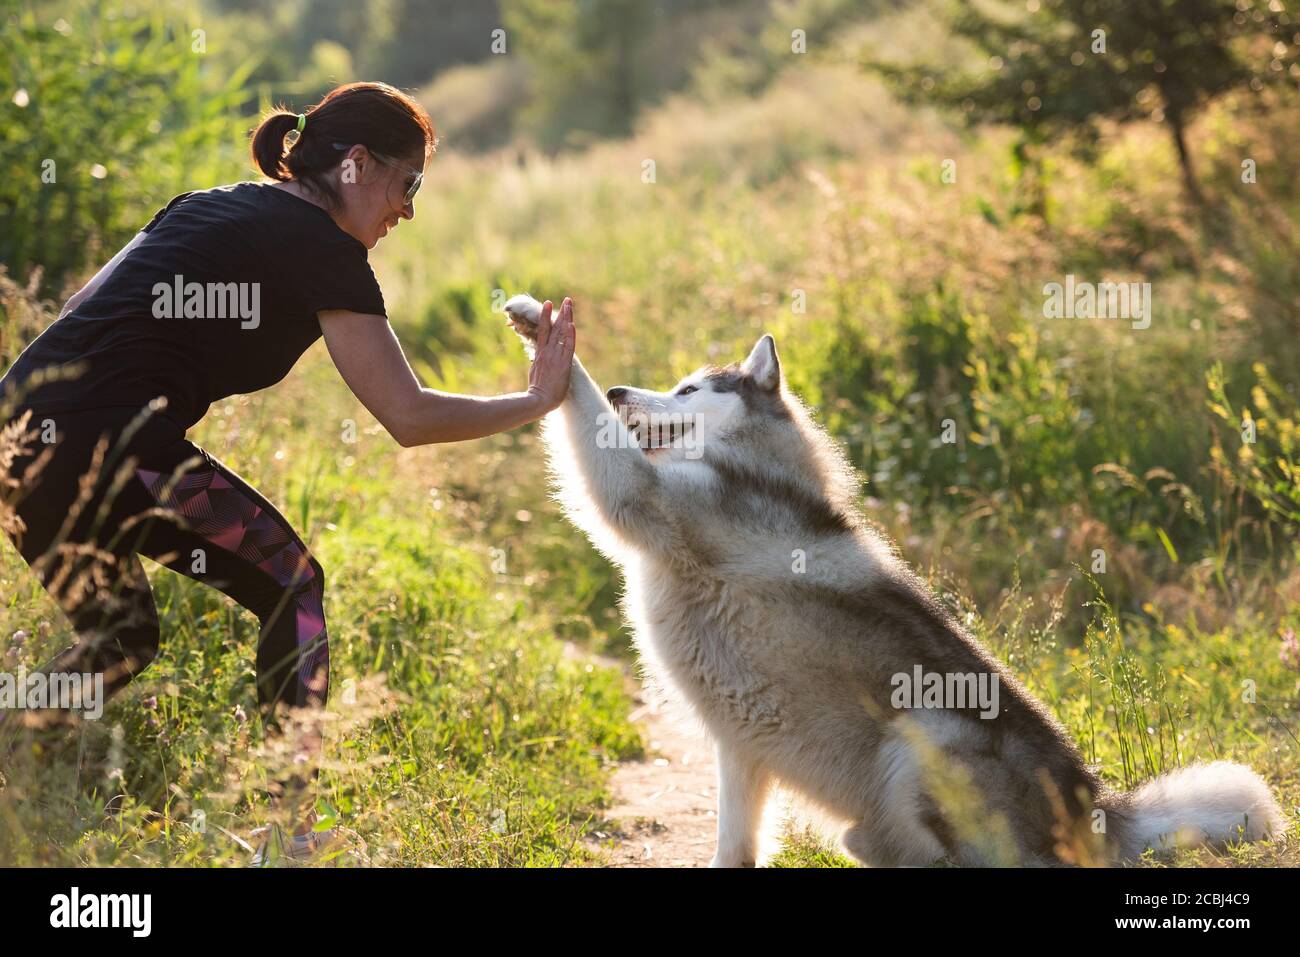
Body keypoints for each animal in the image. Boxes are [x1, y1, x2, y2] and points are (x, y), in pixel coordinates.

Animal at [501, 293, 1284, 868]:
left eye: (689, 387)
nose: (621, 389)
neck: (753, 466)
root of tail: (1100, 811)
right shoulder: (741, 751)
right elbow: (736, 847)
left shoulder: (638, 495)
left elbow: (585, 415)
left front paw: (545, 332)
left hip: (922, 732)